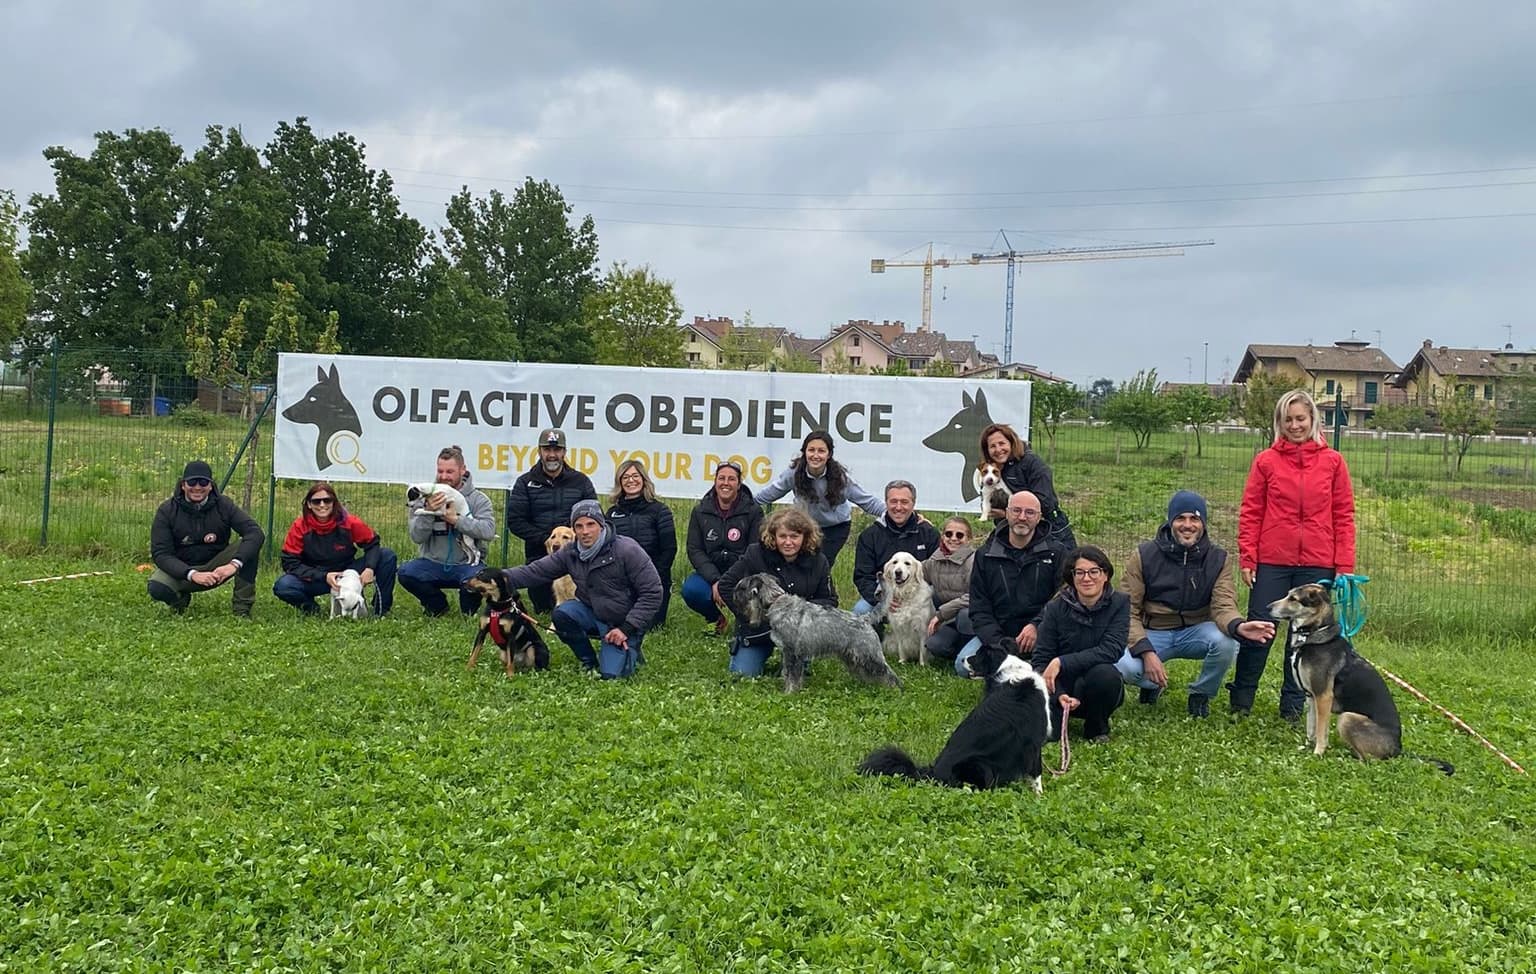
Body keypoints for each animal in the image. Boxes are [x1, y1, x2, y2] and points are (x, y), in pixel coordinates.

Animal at [731, 571, 897, 694]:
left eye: (742, 587)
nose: (734, 596)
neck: (775, 601)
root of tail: (865, 619)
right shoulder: (789, 653)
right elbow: (789, 673)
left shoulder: (792, 652)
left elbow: (792, 675)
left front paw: (789, 693)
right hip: (853, 657)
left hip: (870, 655)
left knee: (889, 674)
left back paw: (894, 691)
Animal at [1271, 577, 1449, 774]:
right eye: (1288, 595)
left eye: (1293, 599)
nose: (1268, 607)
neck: (1314, 634)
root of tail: (1398, 750)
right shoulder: (1312, 696)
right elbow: (1312, 727)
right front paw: (1308, 746)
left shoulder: (1323, 697)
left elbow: (1321, 730)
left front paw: (1318, 753)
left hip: (1348, 718)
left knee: (1371, 761)